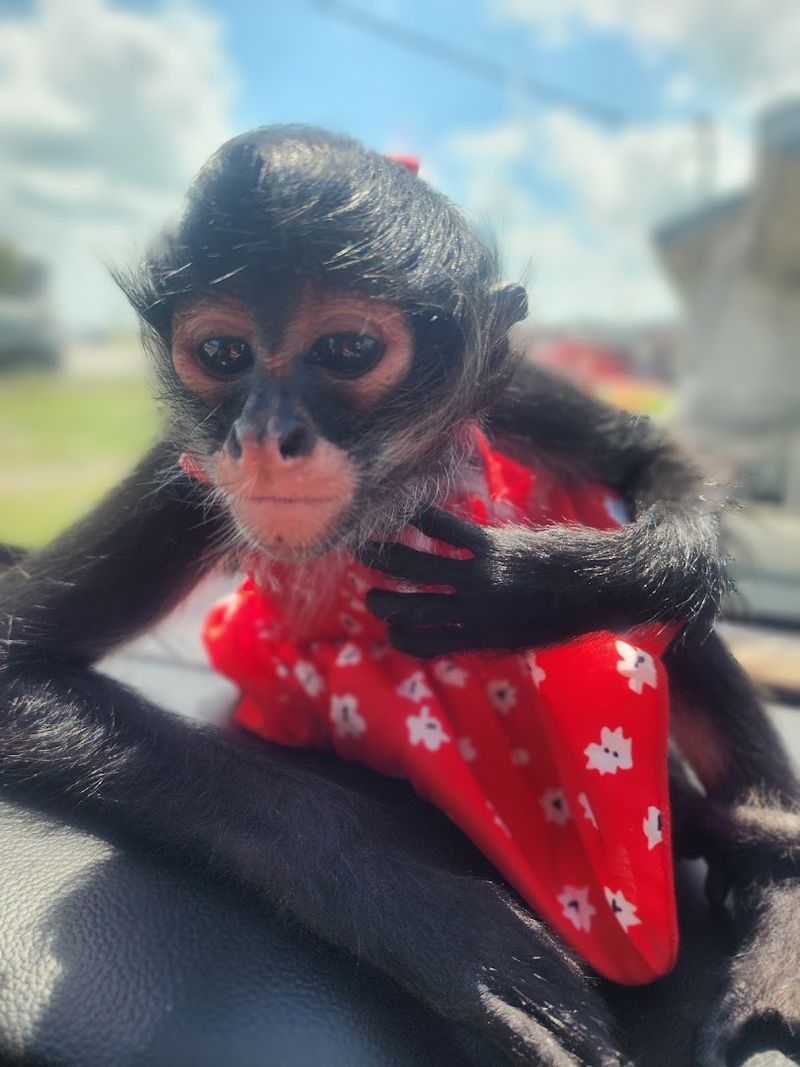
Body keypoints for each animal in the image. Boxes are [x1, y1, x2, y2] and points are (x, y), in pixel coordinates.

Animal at [1, 125, 799, 1066]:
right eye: (224, 354)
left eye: (346, 351)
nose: (263, 437)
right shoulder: (182, 471)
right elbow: (17, 663)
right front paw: (425, 916)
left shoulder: (510, 386)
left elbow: (650, 462)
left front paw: (534, 587)